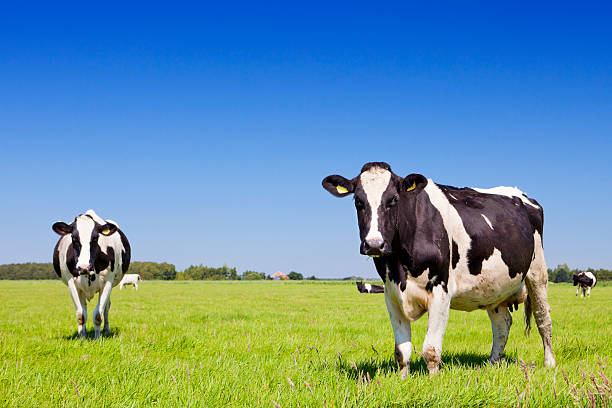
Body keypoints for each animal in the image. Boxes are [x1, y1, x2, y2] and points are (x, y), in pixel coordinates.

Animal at [51, 209, 131, 340]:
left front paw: (97, 338)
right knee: (84, 308)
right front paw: (81, 338)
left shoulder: (107, 282)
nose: (84, 267)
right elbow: (81, 315)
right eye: (74, 238)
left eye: (95, 238)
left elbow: (98, 315)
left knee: (106, 308)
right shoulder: (72, 283)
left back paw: (106, 330)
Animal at [322, 162, 556, 376]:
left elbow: (431, 349)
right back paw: (492, 364)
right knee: (502, 325)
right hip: (494, 287)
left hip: (537, 272)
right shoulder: (391, 294)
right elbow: (402, 351)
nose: (374, 244)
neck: (400, 266)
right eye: (358, 201)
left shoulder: (441, 289)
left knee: (543, 318)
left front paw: (434, 381)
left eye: (394, 200)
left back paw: (549, 363)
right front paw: (402, 379)